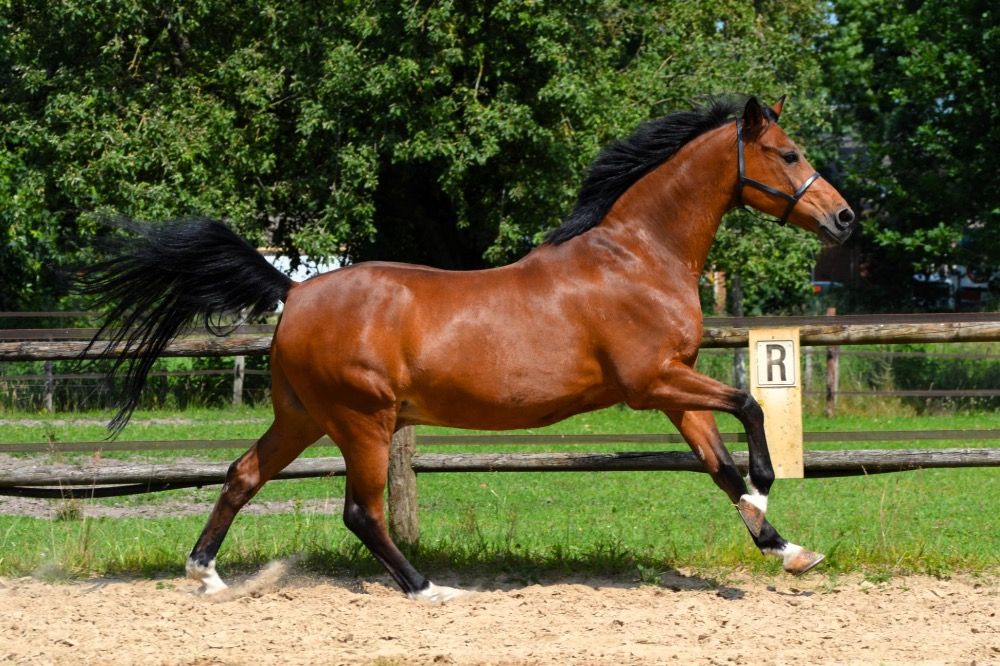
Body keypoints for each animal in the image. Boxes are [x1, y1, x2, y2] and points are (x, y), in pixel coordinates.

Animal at [79, 95, 855, 602]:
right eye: (788, 154)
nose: (844, 218)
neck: (636, 258)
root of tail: (293, 293)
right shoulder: (652, 382)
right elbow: (750, 404)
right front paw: (766, 483)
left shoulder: (674, 387)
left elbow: (718, 465)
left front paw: (787, 549)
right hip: (363, 419)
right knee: (360, 512)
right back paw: (428, 589)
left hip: (302, 416)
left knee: (242, 475)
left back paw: (206, 574)